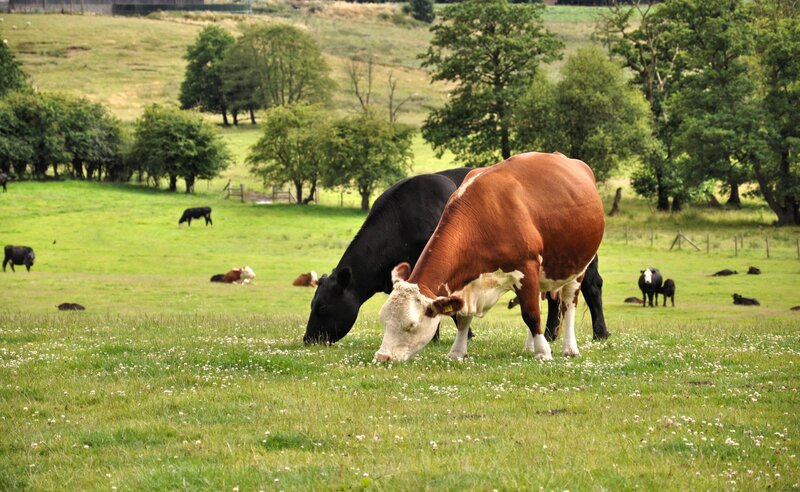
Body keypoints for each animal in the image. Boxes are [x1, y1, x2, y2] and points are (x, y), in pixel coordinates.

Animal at [374, 152, 605, 362]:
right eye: (383, 320)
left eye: (411, 325)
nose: (382, 357)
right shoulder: (467, 284)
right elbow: (463, 318)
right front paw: (457, 352)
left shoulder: (526, 269)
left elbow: (530, 314)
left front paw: (543, 353)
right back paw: (530, 346)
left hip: (578, 267)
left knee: (568, 304)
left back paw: (569, 348)